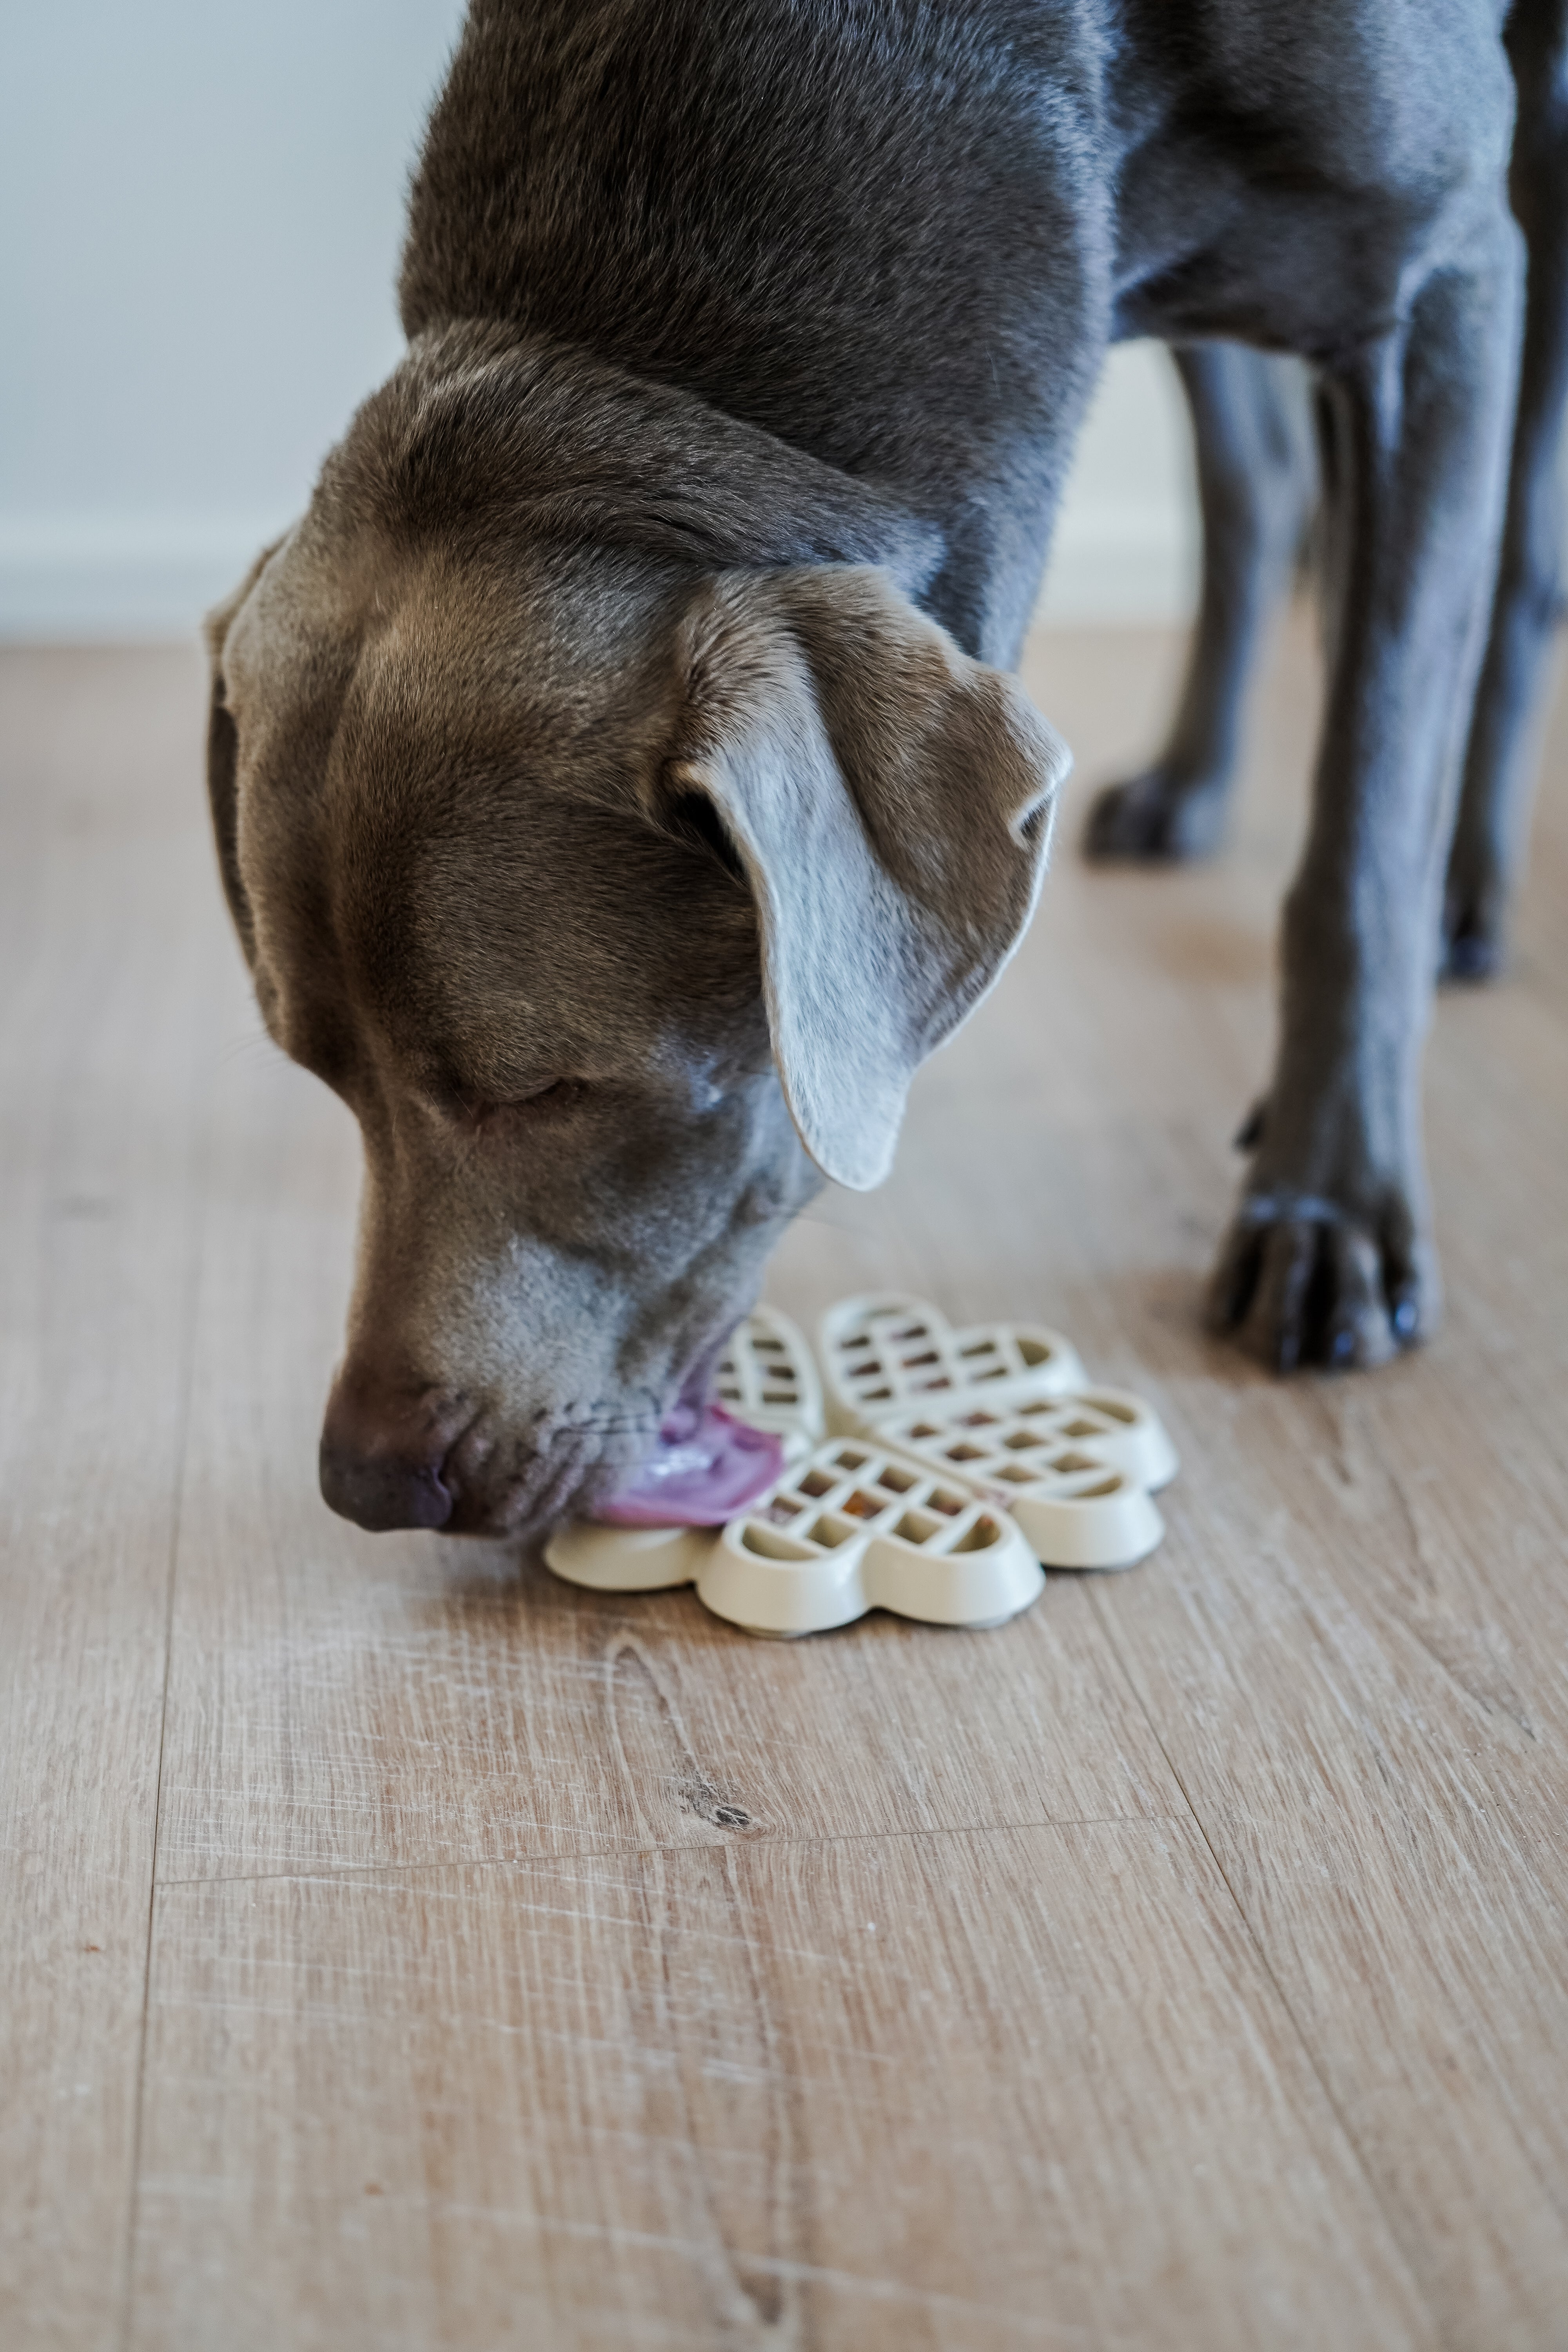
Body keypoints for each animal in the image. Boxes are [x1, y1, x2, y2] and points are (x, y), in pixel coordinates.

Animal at [205, 0, 1561, 1543]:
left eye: (545, 1089)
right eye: (321, 1071)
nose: (369, 1485)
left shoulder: (1446, 274)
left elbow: (1368, 811)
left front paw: (1327, 1214)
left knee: (1507, 561)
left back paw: (1466, 897)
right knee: (1257, 483)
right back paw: (1188, 786)